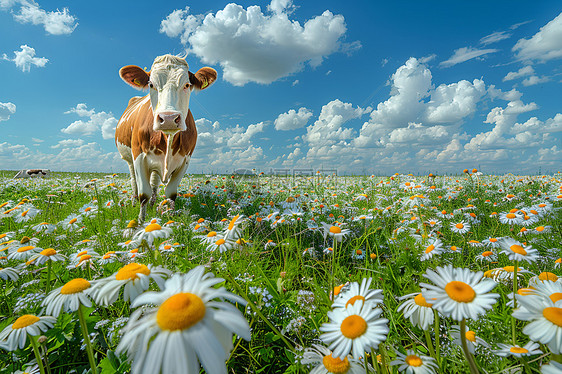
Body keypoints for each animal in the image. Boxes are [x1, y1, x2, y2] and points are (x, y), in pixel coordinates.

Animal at [116, 54, 217, 221]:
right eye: (151, 84)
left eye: (187, 85)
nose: (168, 118)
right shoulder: (139, 156)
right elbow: (144, 193)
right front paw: (141, 221)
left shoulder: (185, 161)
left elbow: (170, 193)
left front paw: (171, 218)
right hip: (129, 159)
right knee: (134, 182)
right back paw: (134, 202)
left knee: (154, 183)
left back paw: (152, 204)